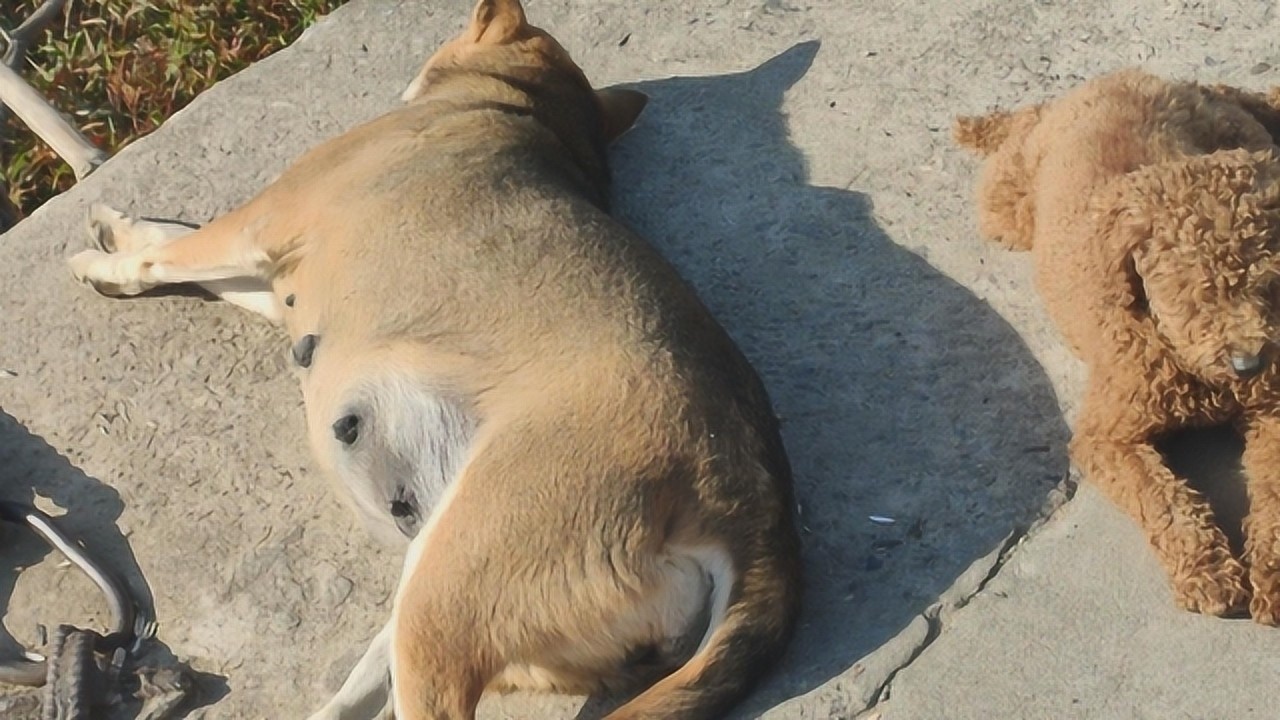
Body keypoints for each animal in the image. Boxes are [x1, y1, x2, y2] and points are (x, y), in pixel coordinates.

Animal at [67, 2, 798, 712]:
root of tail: (756, 515)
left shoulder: (258, 228)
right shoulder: (273, 285)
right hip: (426, 574)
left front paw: (103, 262)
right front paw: (119, 230)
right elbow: (173, 240)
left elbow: (166, 255)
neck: (525, 108)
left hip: (446, 596)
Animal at [957, 71, 1280, 622]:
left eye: (1267, 282)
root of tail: (1121, 77)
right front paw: (1208, 572)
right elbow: (1162, 497)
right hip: (1008, 207)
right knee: (1023, 128)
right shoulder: (1107, 437)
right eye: (1194, 290)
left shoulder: (1273, 408)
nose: (1249, 364)